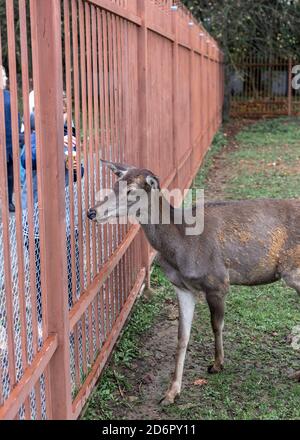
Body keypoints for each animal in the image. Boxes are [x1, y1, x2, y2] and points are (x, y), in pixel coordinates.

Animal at [86, 160, 300, 404]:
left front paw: (217, 364)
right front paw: (171, 392)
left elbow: (216, 325)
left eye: (131, 190)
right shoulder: (182, 287)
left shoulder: (217, 281)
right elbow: (182, 337)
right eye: (114, 185)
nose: (91, 212)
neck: (180, 246)